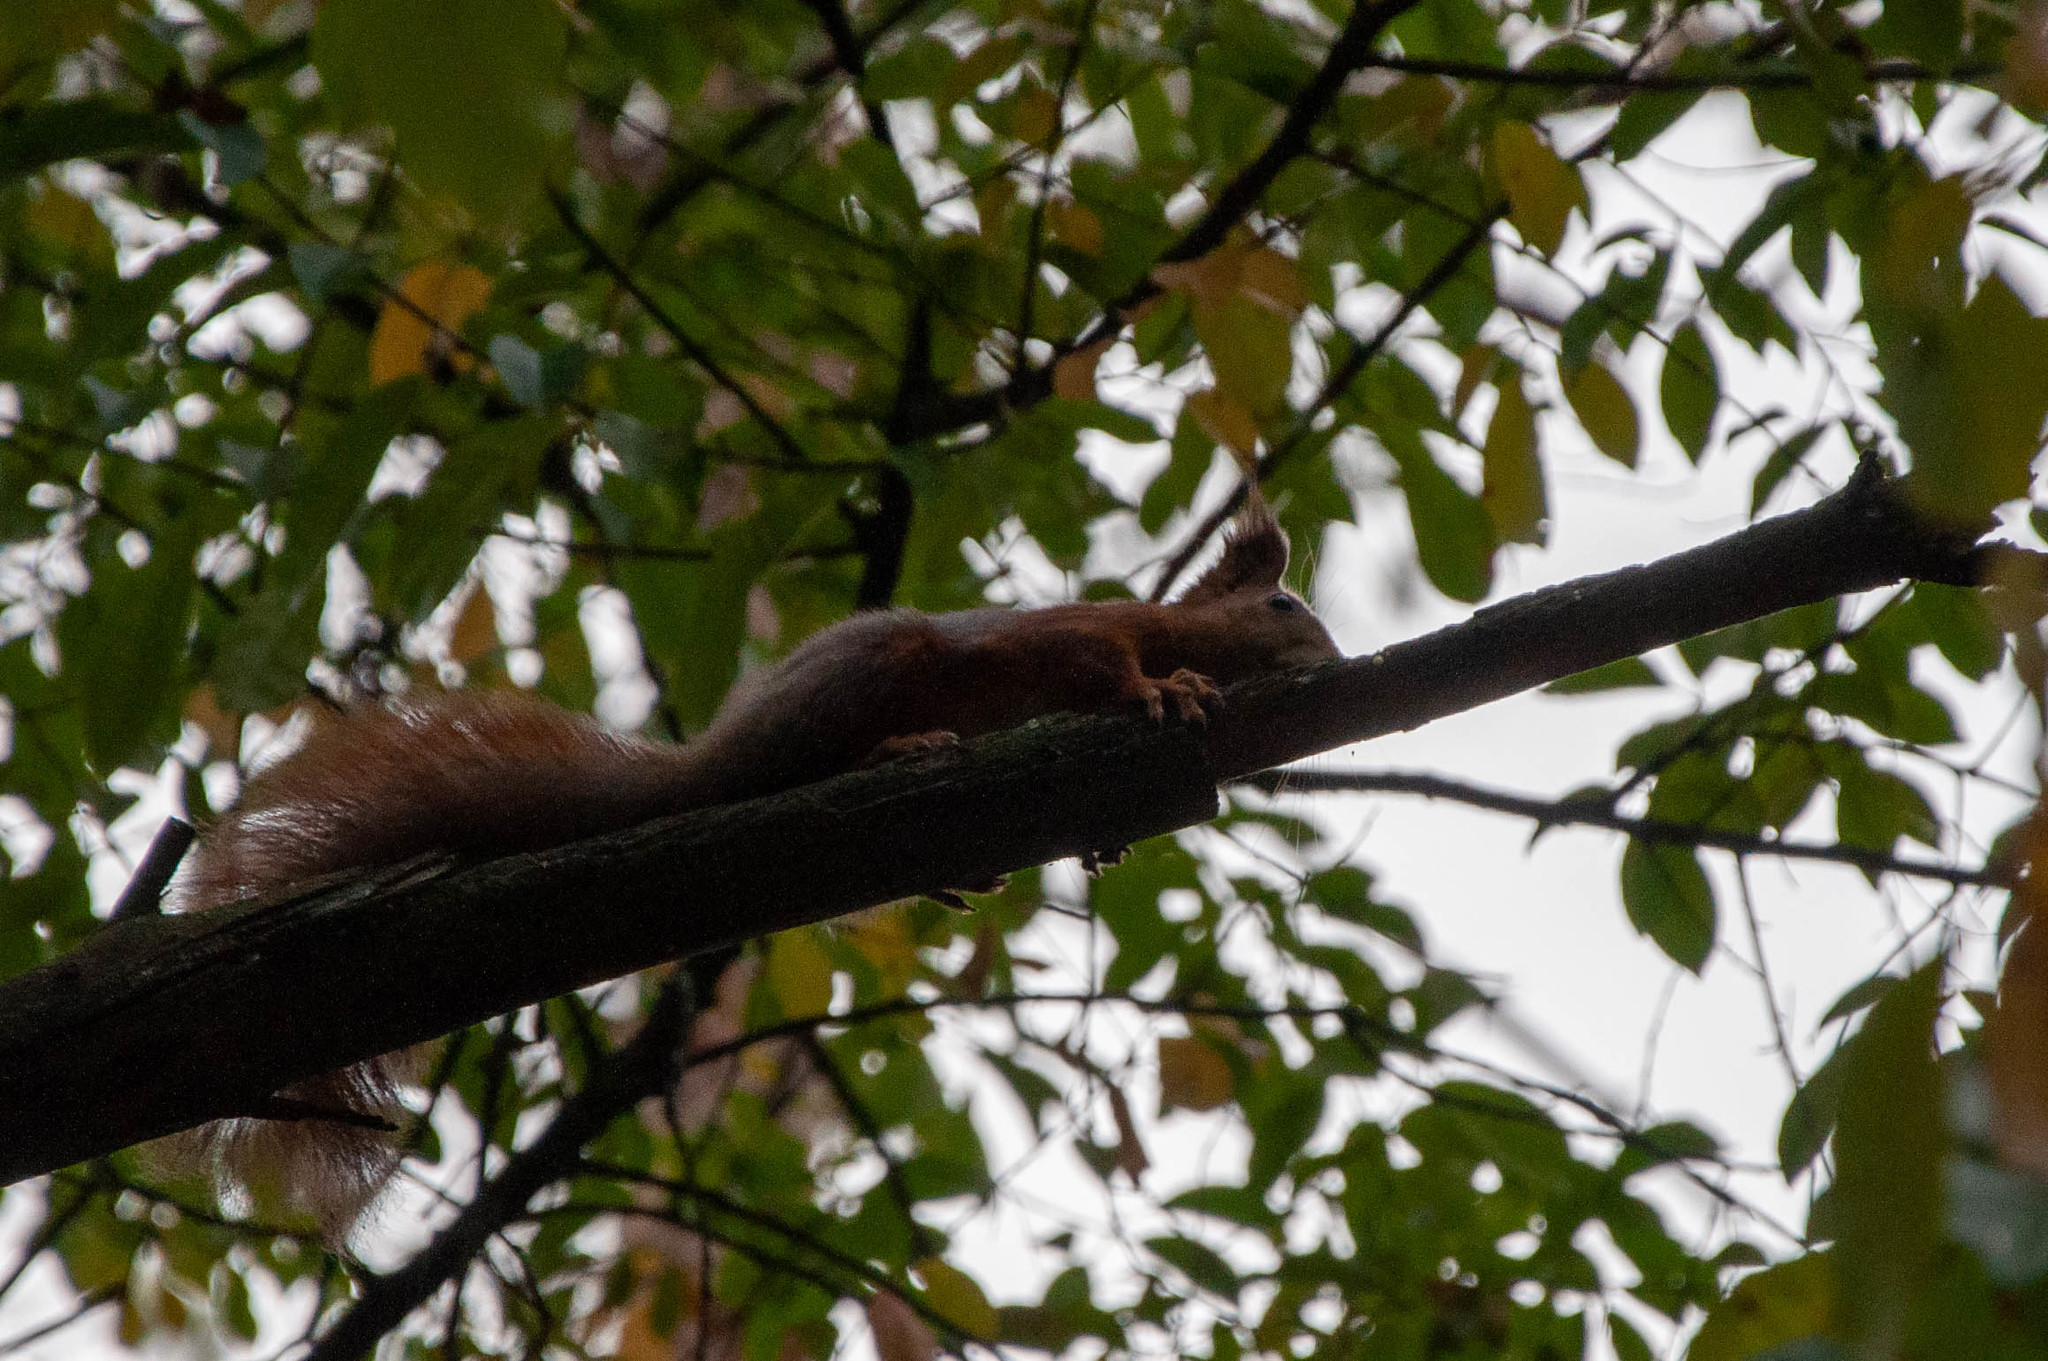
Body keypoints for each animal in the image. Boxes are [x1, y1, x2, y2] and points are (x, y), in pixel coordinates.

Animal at [155, 497, 1343, 1227]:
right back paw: (898, 751)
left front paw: (1107, 835)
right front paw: (1164, 691)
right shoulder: (1070, 637)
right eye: (1282, 603)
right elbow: (1101, 666)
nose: (1330, 658)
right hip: (876, 670)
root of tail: (717, 757)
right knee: (814, 760)